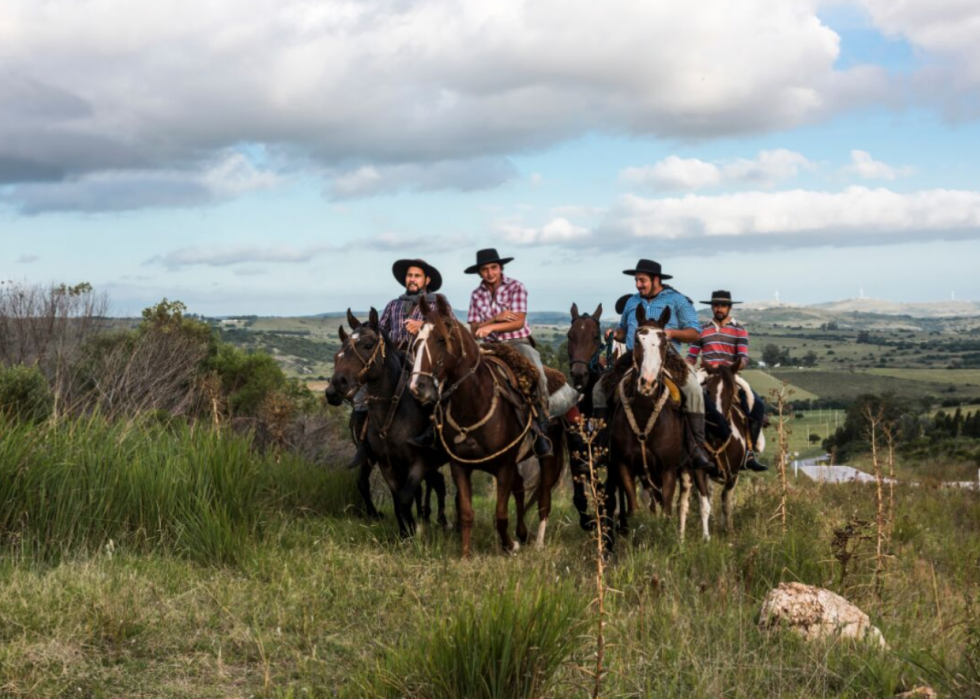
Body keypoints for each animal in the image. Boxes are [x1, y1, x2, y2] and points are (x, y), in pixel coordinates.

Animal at [330, 310, 452, 536]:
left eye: (368, 345)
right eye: (341, 351)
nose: (337, 384)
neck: (393, 412)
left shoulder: (418, 463)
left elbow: (405, 499)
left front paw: (412, 531)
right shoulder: (386, 463)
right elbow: (396, 501)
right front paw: (405, 532)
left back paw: (443, 521)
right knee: (437, 483)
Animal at [410, 296, 568, 556]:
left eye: (441, 339)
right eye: (415, 343)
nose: (418, 386)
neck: (474, 406)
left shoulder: (504, 466)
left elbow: (501, 515)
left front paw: (510, 546)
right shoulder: (460, 467)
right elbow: (466, 513)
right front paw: (465, 555)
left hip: (549, 458)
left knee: (544, 499)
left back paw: (537, 542)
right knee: (521, 489)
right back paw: (523, 533)